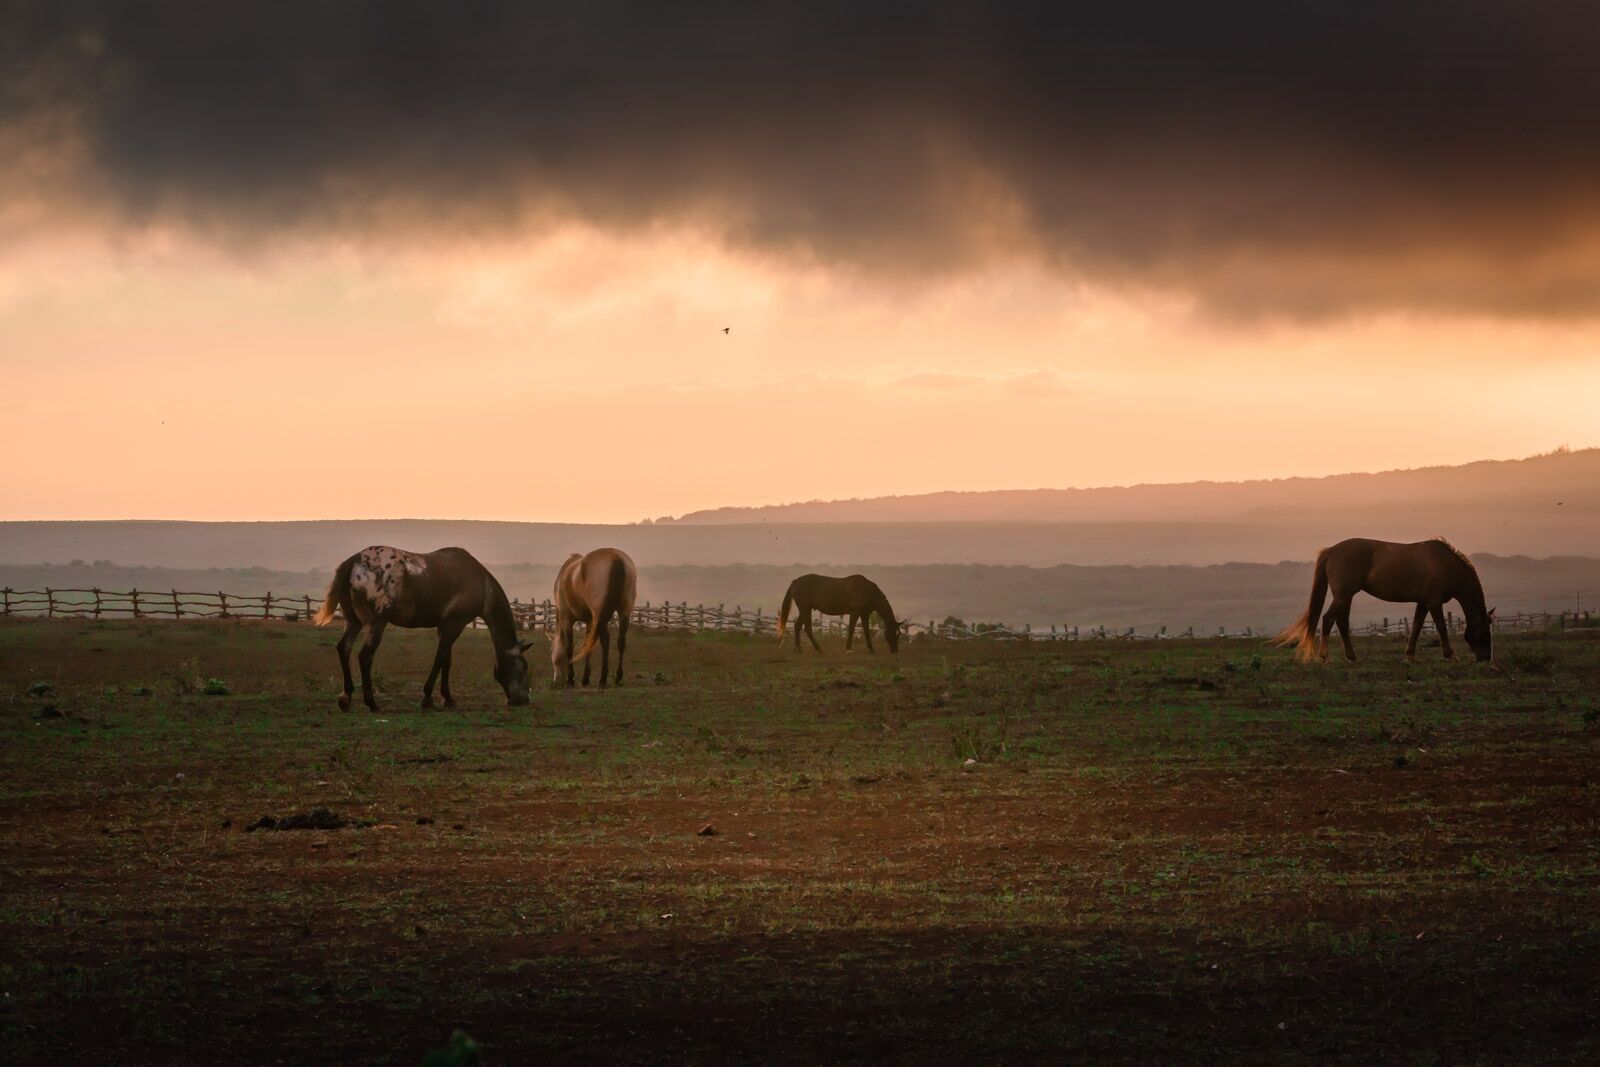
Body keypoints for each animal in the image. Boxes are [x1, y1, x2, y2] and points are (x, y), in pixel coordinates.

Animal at [310, 547, 531, 713]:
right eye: (523, 667)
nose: (523, 700)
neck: (481, 584)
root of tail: (355, 561)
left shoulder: (445, 627)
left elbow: (446, 661)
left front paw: (448, 698)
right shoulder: (454, 625)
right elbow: (439, 659)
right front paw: (428, 698)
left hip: (354, 622)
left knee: (344, 648)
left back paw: (346, 698)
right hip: (376, 624)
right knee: (365, 657)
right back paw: (371, 703)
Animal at [544, 547, 630, 687]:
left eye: (552, 651)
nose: (555, 682)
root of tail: (616, 559)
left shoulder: (567, 620)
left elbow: (570, 648)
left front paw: (571, 678)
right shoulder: (590, 622)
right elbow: (587, 647)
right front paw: (585, 678)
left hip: (600, 616)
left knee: (605, 640)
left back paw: (603, 679)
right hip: (624, 612)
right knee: (621, 642)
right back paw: (617, 677)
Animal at [1267, 537, 1491, 662]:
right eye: (1485, 629)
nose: (1486, 657)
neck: (1445, 564)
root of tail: (1331, 551)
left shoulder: (1423, 602)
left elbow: (1416, 627)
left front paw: (1410, 655)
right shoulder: (1434, 602)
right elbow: (1442, 627)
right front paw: (1451, 655)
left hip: (1345, 597)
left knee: (1342, 622)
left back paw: (1352, 657)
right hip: (1342, 597)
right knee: (1328, 619)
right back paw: (1324, 656)